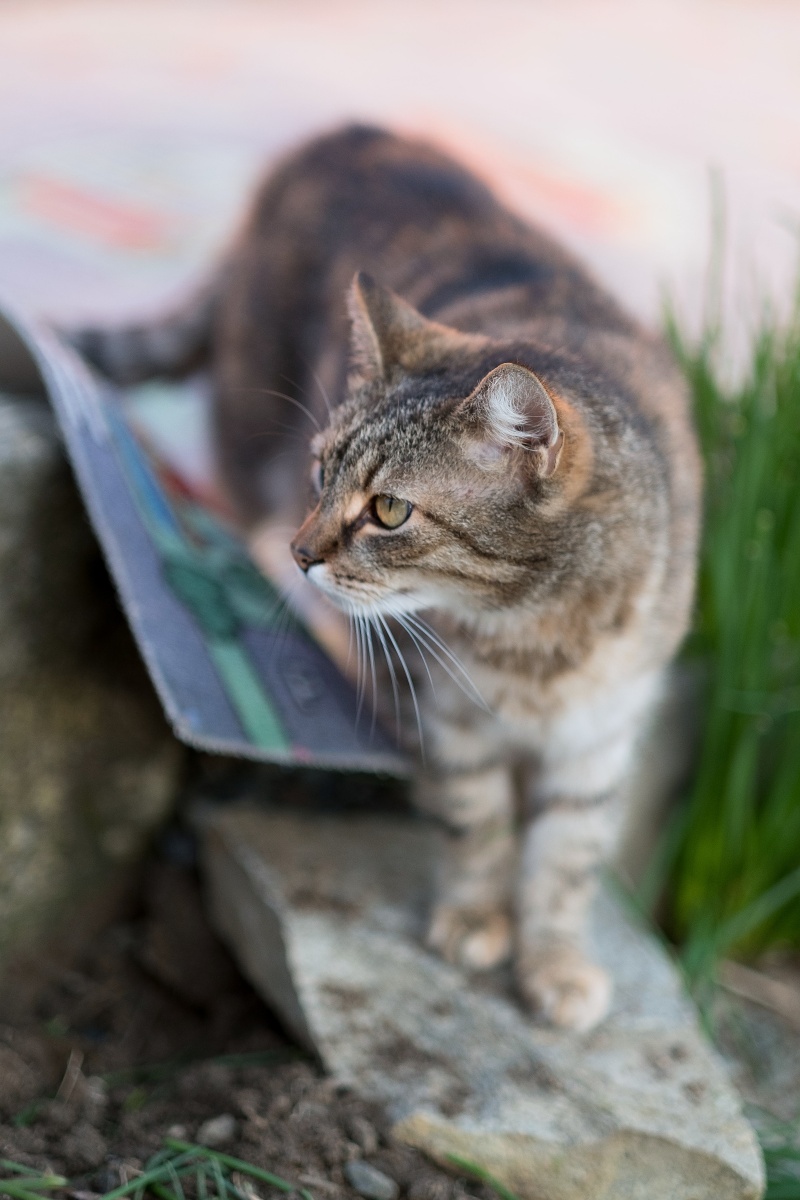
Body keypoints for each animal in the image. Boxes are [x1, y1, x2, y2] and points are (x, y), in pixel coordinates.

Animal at [72, 124, 701, 1032]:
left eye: (390, 511)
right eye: (321, 471)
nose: (307, 551)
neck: (531, 636)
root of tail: (340, 133)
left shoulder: (602, 732)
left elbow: (566, 857)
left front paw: (554, 963)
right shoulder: (446, 710)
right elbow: (477, 819)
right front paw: (476, 918)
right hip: (248, 447)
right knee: (245, 527)